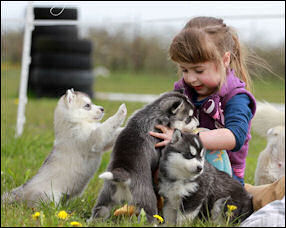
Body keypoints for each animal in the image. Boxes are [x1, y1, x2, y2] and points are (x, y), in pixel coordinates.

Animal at [89, 89, 199, 223]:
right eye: (188, 118)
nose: (198, 122)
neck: (155, 113)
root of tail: (123, 174)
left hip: (106, 197)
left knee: (99, 212)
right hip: (147, 198)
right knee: (150, 215)